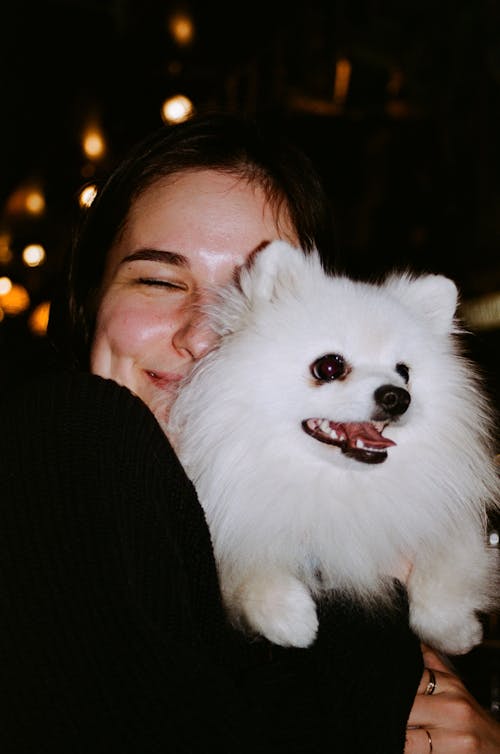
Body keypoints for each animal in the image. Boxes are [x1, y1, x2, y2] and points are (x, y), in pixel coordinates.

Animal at [169, 238, 500, 648]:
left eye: (404, 372)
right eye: (329, 367)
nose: (398, 397)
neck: (336, 483)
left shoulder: (444, 518)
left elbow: (445, 567)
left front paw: (456, 630)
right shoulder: (230, 527)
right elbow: (245, 568)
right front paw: (290, 616)